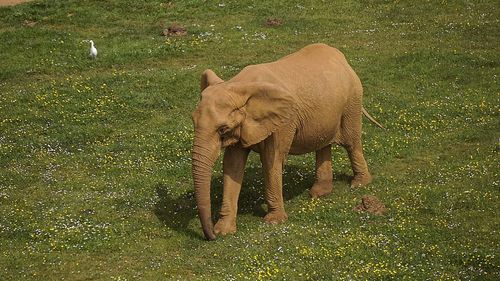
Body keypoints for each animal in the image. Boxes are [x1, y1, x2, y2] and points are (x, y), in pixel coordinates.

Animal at [191, 42, 382, 240]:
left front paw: (273, 221)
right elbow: (232, 165)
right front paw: (224, 231)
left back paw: (359, 184)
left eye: (222, 129)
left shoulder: (283, 122)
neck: (238, 86)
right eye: (193, 121)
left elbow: (271, 160)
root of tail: (341, 58)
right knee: (323, 144)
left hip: (352, 100)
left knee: (351, 142)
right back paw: (319, 192)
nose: (210, 236)